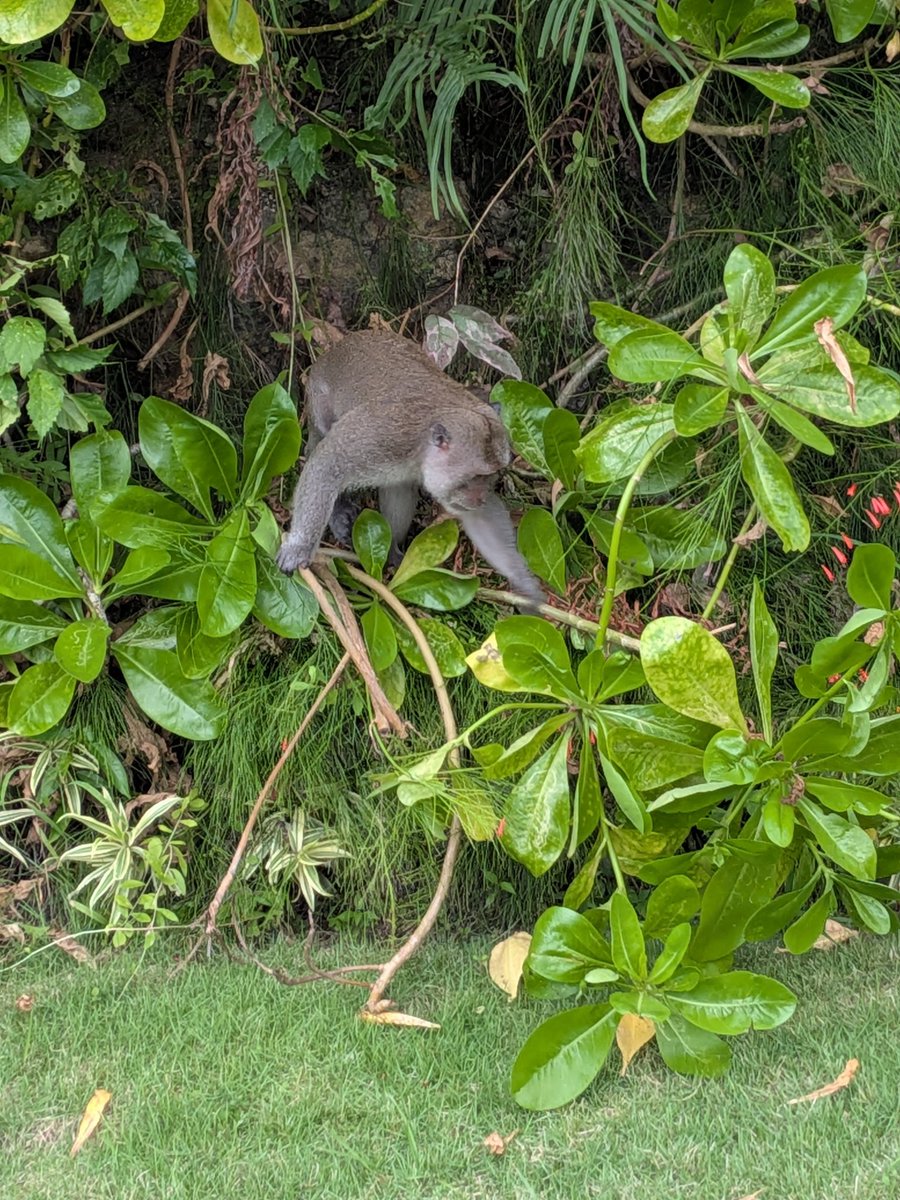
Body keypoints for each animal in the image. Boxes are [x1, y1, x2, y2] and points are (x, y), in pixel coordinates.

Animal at [275, 329, 545, 610]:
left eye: (490, 476)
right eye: (475, 477)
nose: (479, 496)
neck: (422, 446)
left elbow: (478, 517)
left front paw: (522, 582)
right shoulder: (386, 435)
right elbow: (329, 460)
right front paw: (300, 546)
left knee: (400, 487)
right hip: (318, 398)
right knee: (321, 441)